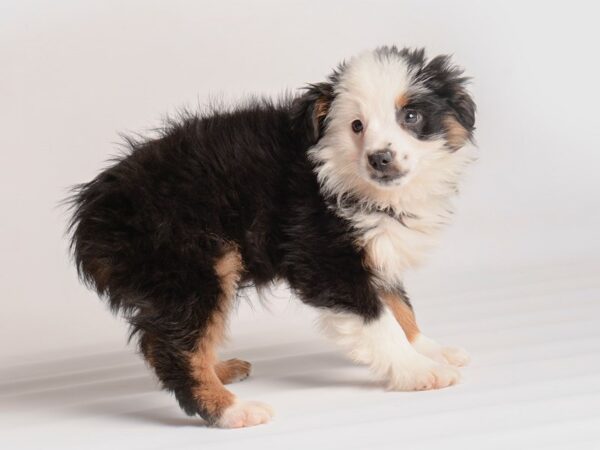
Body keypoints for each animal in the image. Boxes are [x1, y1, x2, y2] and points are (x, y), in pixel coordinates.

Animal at [68, 45, 476, 428]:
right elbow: (379, 320)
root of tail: (92, 212)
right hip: (193, 266)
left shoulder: (374, 250)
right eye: (357, 125)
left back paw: (221, 370)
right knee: (175, 349)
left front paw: (430, 349)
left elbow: (400, 306)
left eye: (411, 116)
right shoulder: (326, 258)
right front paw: (419, 370)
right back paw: (231, 410)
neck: (335, 170)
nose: (380, 159)